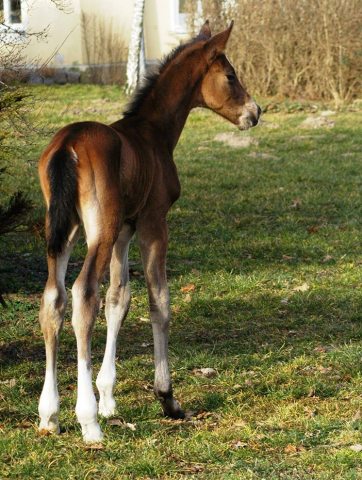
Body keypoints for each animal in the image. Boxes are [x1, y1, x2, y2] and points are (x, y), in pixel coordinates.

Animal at [37, 21, 260, 442]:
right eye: (230, 75)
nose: (255, 112)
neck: (153, 133)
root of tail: (68, 145)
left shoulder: (126, 230)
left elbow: (119, 299)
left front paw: (109, 398)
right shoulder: (154, 223)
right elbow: (160, 302)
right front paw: (167, 397)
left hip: (65, 229)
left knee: (53, 299)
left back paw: (50, 415)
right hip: (99, 229)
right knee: (82, 294)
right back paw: (87, 421)